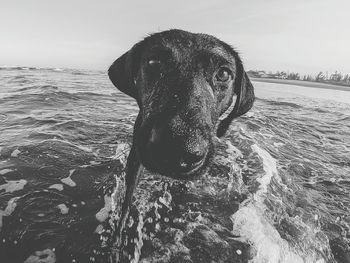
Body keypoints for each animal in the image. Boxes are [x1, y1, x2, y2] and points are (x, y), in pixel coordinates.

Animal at [107, 29, 254, 241]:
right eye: (153, 62)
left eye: (224, 73)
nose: (177, 147)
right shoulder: (136, 157)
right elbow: (127, 198)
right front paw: (118, 234)